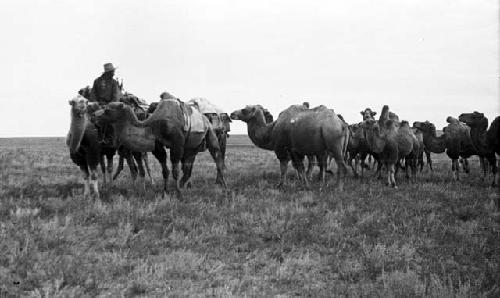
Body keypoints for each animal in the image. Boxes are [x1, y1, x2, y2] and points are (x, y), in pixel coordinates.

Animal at [94, 100, 227, 196]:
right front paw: (166, 191)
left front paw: (178, 193)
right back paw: (184, 185)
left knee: (217, 157)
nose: (94, 117)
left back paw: (224, 186)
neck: (154, 125)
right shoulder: (157, 146)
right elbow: (165, 170)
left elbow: (175, 170)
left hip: (211, 134)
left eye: (107, 110)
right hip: (192, 146)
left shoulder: (177, 143)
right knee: (188, 165)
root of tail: (205, 119)